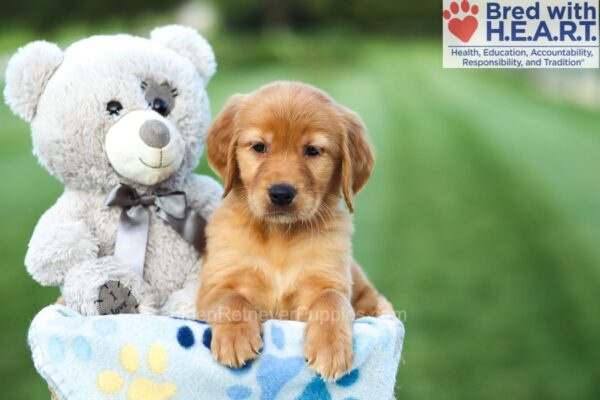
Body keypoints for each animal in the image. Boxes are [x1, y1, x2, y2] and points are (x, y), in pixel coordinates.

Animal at [198, 79, 394, 380]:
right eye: (259, 147)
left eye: (313, 150)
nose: (281, 193)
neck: (279, 235)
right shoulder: (216, 283)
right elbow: (231, 299)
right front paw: (235, 337)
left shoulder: (327, 280)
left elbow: (331, 302)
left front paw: (330, 347)